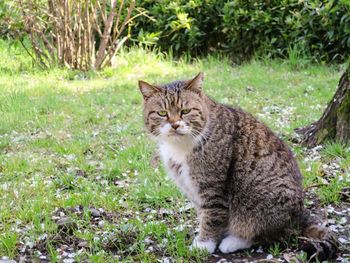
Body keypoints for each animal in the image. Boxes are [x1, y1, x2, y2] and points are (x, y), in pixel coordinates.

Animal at [139, 73, 340, 260]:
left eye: (185, 111)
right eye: (162, 113)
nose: (174, 124)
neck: (181, 146)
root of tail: (301, 213)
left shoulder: (212, 188)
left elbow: (211, 216)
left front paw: (204, 244)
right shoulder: (192, 189)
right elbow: (204, 214)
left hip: (261, 199)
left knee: (271, 233)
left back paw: (234, 241)